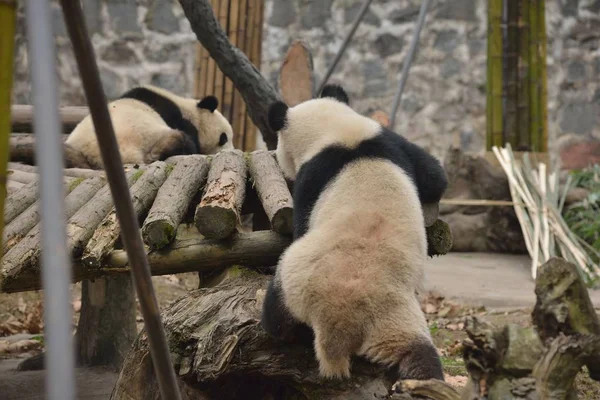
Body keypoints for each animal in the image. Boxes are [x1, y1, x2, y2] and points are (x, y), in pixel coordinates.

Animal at [260, 84, 448, 382]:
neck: (336, 131)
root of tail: (338, 327)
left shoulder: (313, 176)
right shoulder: (384, 140)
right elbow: (434, 177)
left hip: (294, 279)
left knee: (277, 317)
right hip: (395, 317)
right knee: (420, 357)